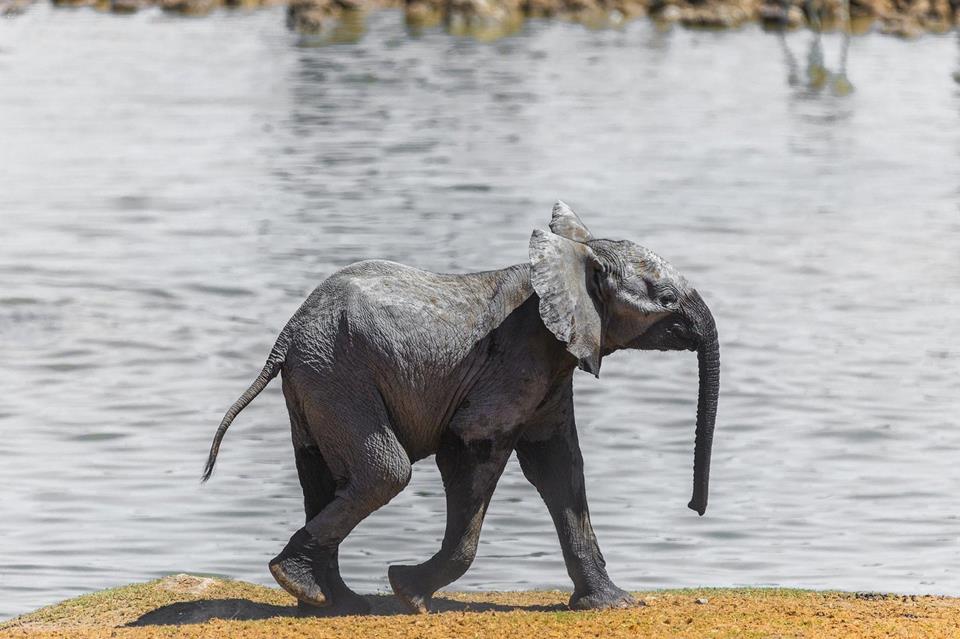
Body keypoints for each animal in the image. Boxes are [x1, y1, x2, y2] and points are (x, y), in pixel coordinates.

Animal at [201, 201, 720, 615]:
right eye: (666, 299)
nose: (695, 509)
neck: (570, 259)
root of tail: (288, 333)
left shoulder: (553, 369)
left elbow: (558, 466)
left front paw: (613, 604)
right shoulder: (518, 358)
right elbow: (470, 450)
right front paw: (408, 591)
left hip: (317, 377)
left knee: (322, 475)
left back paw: (329, 601)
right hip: (337, 373)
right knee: (385, 472)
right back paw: (308, 586)